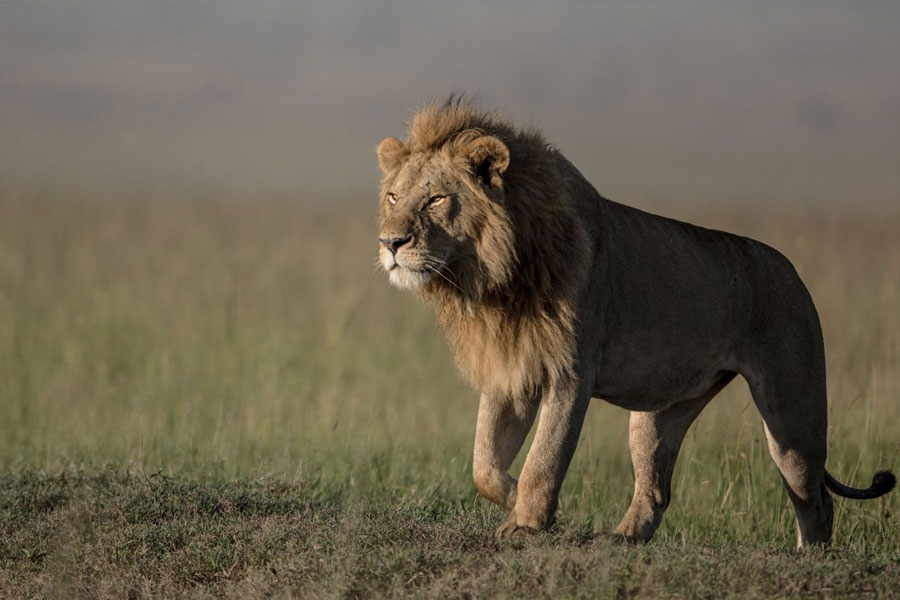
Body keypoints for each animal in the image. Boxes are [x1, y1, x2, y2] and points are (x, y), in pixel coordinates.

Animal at [375, 97, 895, 547]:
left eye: (435, 200)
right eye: (394, 196)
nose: (390, 243)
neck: (492, 279)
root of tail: (792, 272)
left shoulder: (572, 373)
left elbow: (546, 457)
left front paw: (528, 521)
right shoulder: (512, 370)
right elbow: (483, 465)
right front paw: (524, 503)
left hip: (792, 414)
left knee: (814, 497)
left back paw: (810, 557)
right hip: (660, 413)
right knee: (657, 489)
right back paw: (622, 539)